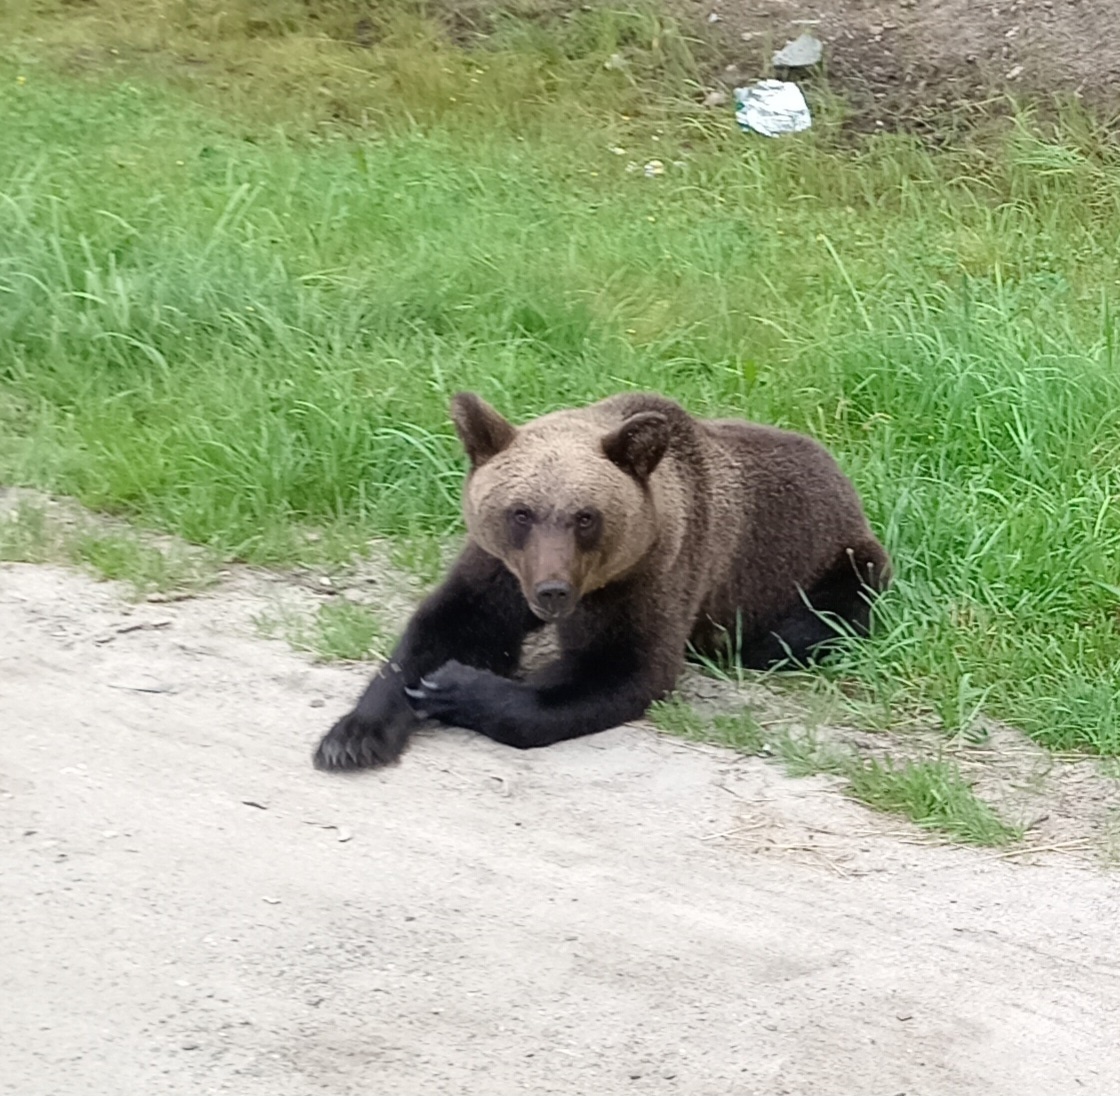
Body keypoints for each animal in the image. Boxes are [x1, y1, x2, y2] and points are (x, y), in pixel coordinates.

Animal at [311, 394, 887, 770]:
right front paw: (352, 737)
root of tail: (841, 474)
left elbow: (620, 667)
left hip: (834, 563)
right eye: (521, 512)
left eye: (586, 517)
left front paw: (456, 686)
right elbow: (448, 624)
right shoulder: (500, 569)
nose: (552, 591)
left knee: (812, 622)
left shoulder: (651, 577)